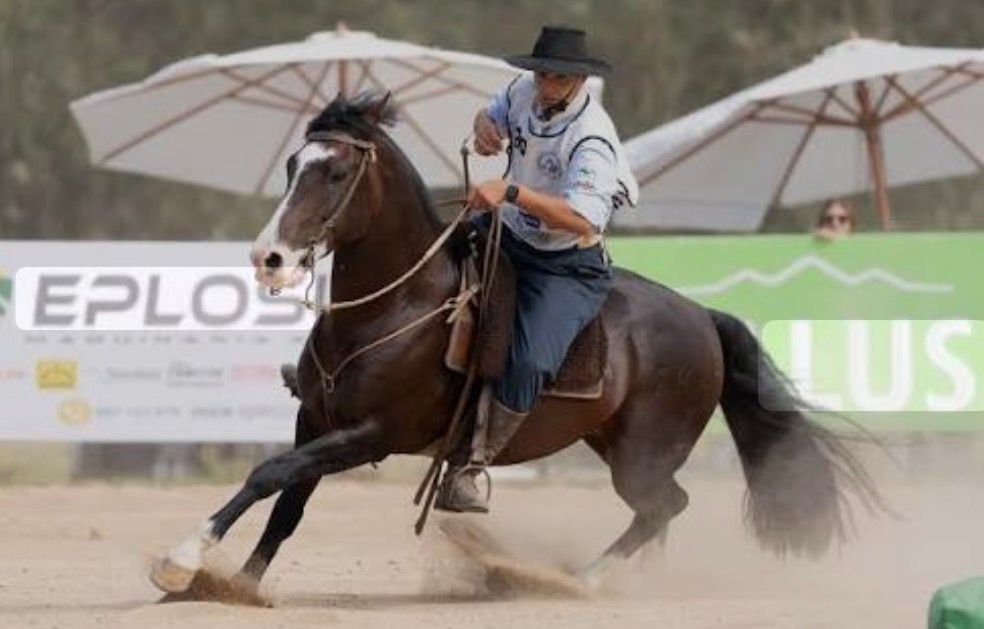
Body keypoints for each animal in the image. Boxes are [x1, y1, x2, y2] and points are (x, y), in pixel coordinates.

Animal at [150, 92, 879, 595]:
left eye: (334, 174)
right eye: (293, 165)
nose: (269, 258)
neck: (393, 307)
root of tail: (703, 316)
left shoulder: (371, 433)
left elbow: (268, 473)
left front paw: (181, 559)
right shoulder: (315, 418)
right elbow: (287, 503)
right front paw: (239, 584)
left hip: (642, 454)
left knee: (665, 505)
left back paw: (583, 581)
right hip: (616, 444)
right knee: (660, 513)